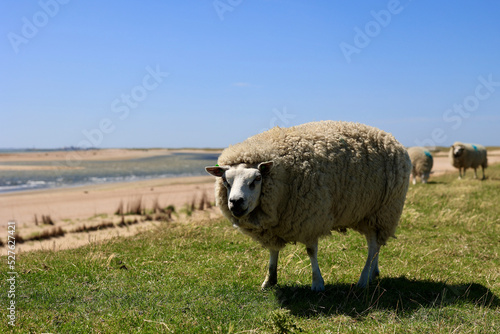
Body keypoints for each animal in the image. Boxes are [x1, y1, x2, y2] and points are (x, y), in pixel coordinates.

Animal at [204, 121, 410, 290]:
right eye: (226, 181)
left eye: (257, 179)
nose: (236, 202)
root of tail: (392, 138)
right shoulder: (274, 225)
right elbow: (273, 251)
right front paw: (269, 280)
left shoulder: (311, 217)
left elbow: (311, 251)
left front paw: (317, 283)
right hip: (368, 212)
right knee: (375, 244)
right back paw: (373, 273)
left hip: (383, 210)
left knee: (373, 246)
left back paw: (363, 279)